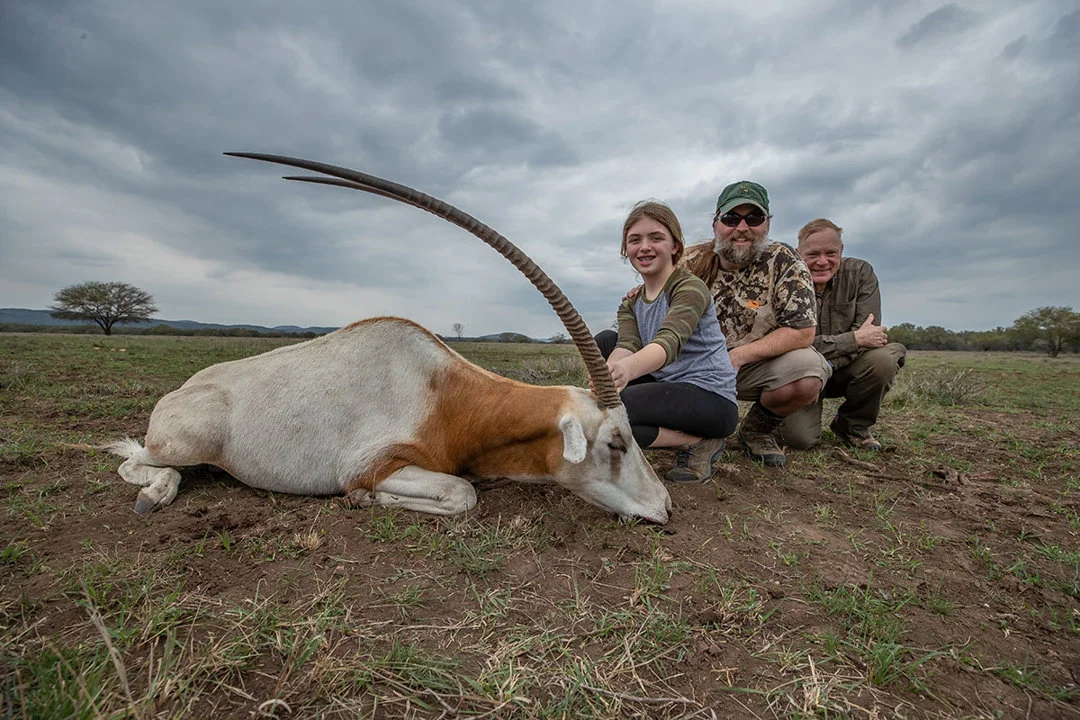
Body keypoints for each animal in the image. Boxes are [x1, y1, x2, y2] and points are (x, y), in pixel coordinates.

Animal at [105, 154, 672, 524]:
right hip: (184, 443)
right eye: (615, 442)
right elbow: (462, 494)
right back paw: (153, 496)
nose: (665, 506)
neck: (448, 397)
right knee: (137, 461)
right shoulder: (376, 464)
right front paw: (362, 499)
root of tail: (180, 392)